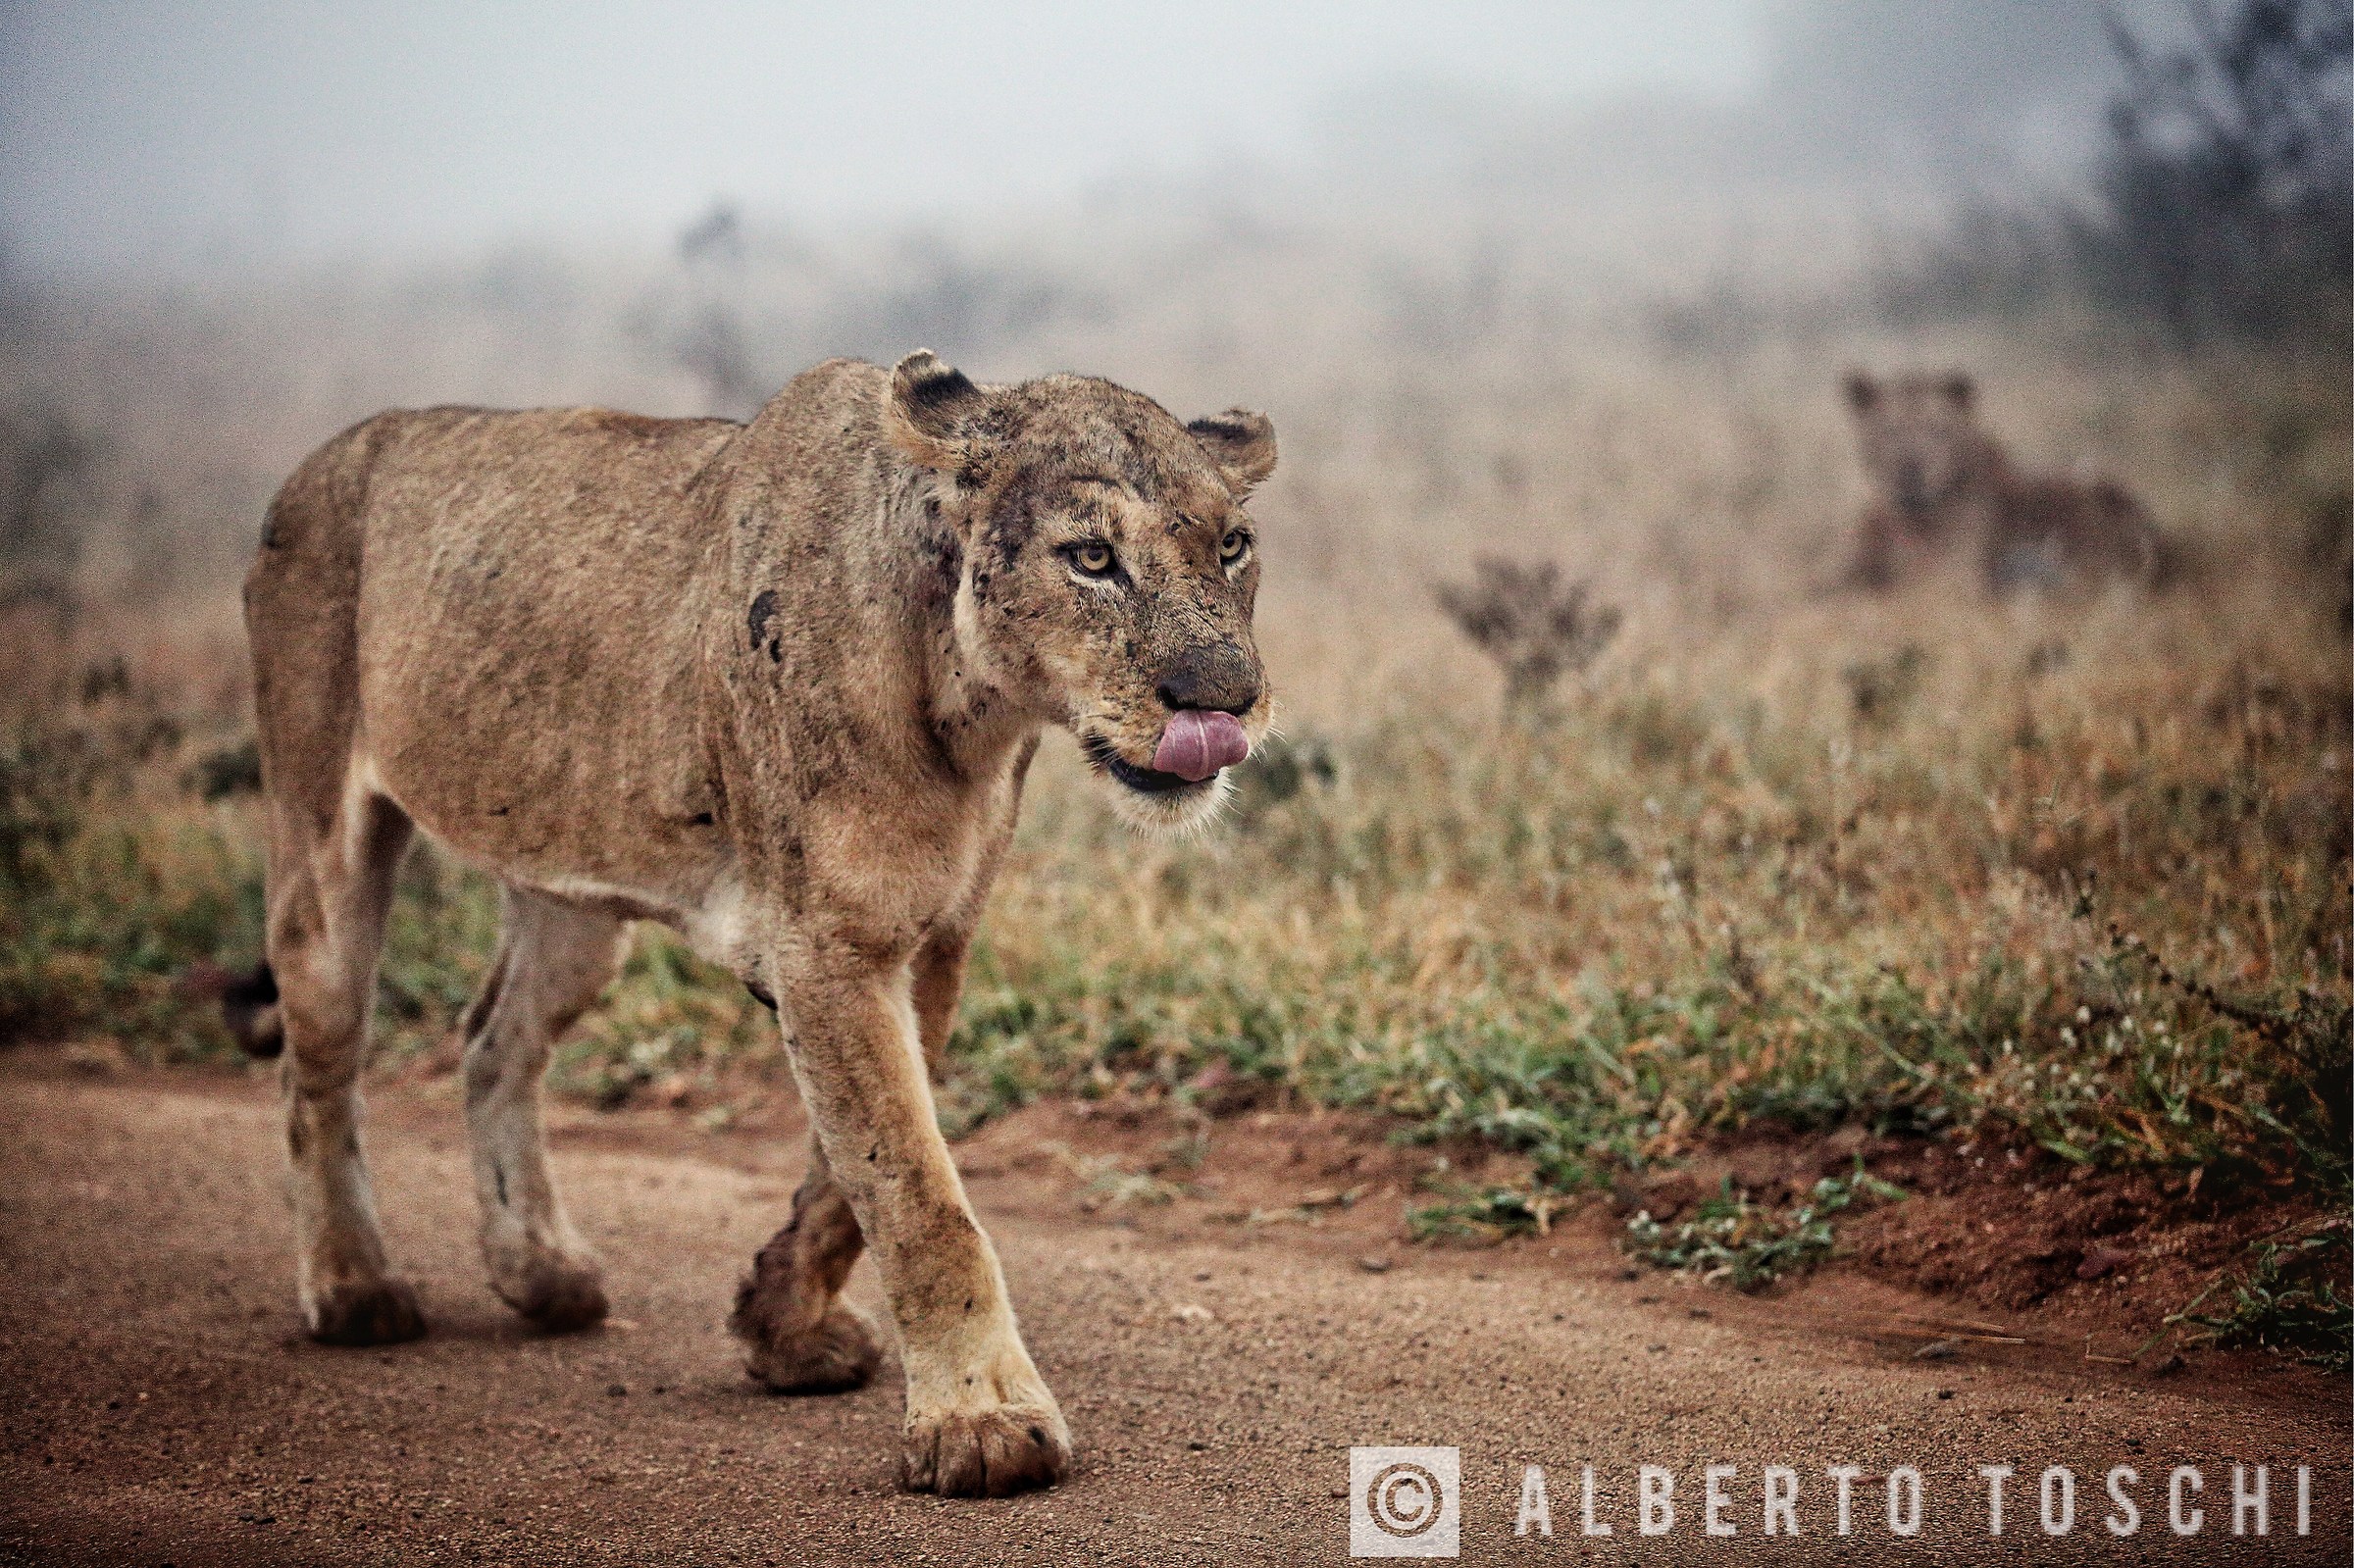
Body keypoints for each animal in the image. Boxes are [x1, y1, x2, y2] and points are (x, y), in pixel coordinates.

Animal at [228, 351, 1276, 1497]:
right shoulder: (827, 942)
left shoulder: (931, 939)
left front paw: (783, 1326)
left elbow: (849, 1182)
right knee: (319, 1065)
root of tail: (309, 467)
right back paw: (353, 1288)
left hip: (571, 886)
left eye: (1232, 545)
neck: (970, 707)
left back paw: (540, 1271)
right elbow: (915, 1192)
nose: (1227, 700)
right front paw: (983, 1423)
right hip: (321, 826)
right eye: (1092, 557)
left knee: (493, 1041)